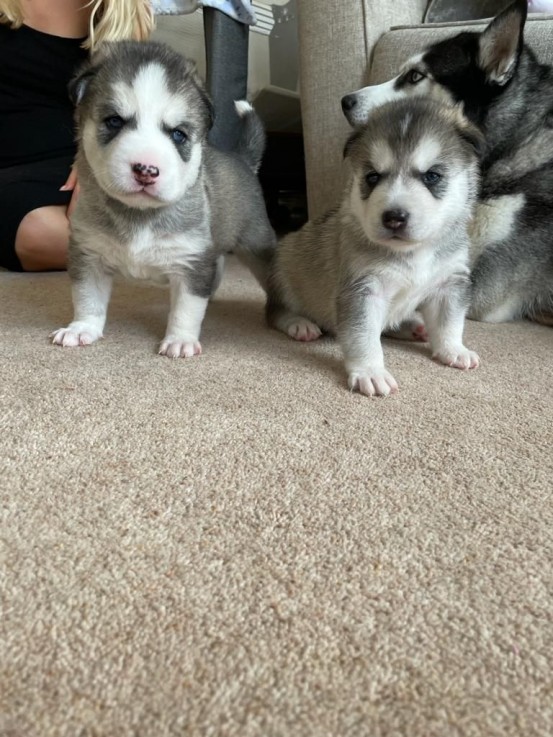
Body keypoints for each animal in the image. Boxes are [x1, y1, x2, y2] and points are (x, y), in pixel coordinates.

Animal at [51, 40, 276, 356]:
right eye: (114, 121)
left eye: (178, 134)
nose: (146, 170)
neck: (140, 214)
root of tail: (242, 158)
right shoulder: (88, 254)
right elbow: (87, 298)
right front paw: (82, 328)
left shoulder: (192, 263)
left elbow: (186, 308)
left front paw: (180, 340)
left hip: (258, 244)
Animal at [266, 99, 478, 396]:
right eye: (372, 177)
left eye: (432, 176)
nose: (394, 217)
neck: (413, 251)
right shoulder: (362, 290)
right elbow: (363, 337)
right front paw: (370, 371)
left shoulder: (450, 282)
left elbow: (450, 322)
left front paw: (454, 349)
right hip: (285, 269)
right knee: (275, 311)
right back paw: (299, 323)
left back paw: (415, 327)